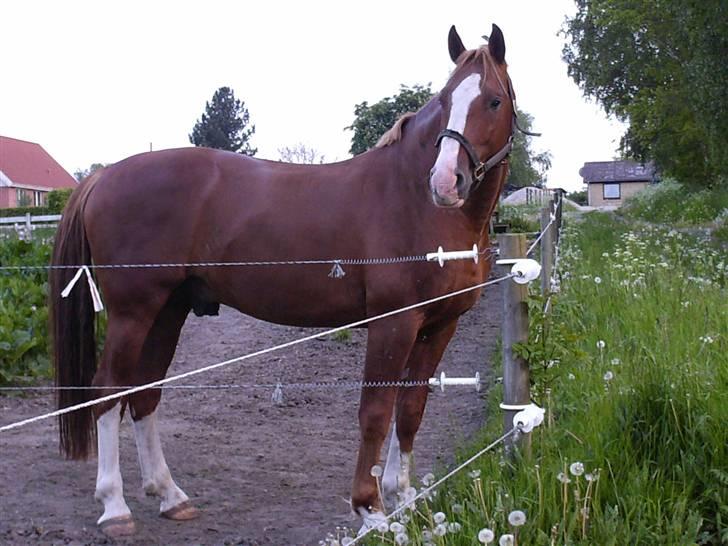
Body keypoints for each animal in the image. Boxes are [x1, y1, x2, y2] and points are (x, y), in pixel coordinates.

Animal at [49, 22, 516, 536]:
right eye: (447, 99)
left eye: (493, 100)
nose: (445, 182)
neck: (414, 201)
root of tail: (102, 177)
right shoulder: (393, 323)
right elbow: (375, 411)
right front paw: (370, 509)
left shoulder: (439, 326)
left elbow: (410, 411)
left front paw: (406, 501)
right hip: (133, 312)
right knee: (108, 391)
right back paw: (115, 506)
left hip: (168, 310)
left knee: (145, 392)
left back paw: (170, 495)